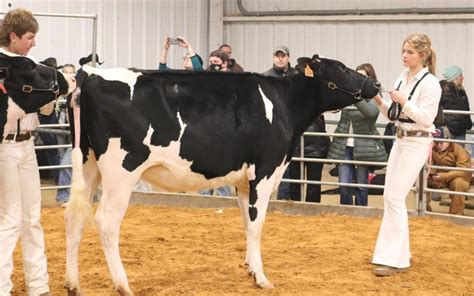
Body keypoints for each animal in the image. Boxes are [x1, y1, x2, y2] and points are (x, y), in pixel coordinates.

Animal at [65, 55, 380, 294]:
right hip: (121, 171)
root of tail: (90, 75)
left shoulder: (244, 180)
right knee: (106, 221)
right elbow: (257, 223)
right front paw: (261, 278)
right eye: (340, 68)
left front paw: (250, 269)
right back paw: (122, 285)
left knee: (75, 217)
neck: (284, 104)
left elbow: (247, 222)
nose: (375, 84)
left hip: (87, 164)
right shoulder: (265, 171)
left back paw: (73, 284)